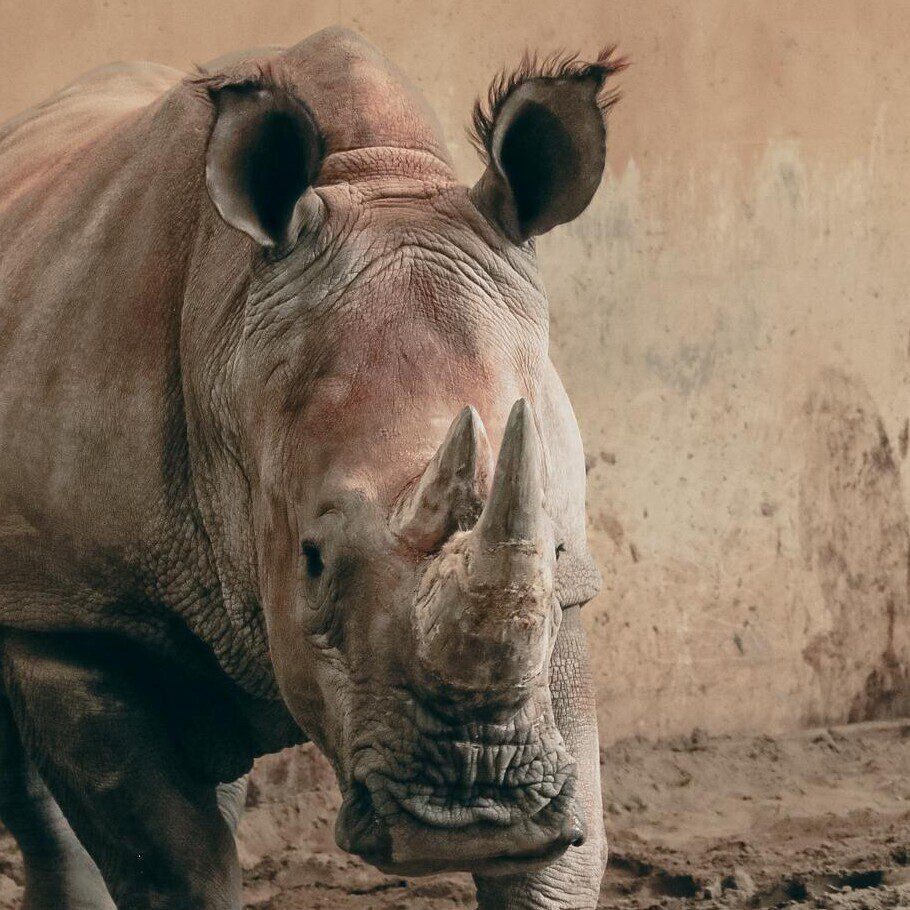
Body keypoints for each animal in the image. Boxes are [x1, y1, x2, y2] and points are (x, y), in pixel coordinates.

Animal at [0, 26, 622, 910]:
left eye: (562, 547)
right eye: (314, 559)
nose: (476, 811)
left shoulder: (560, 605)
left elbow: (559, 858)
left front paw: (524, 853)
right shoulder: (71, 608)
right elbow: (173, 867)